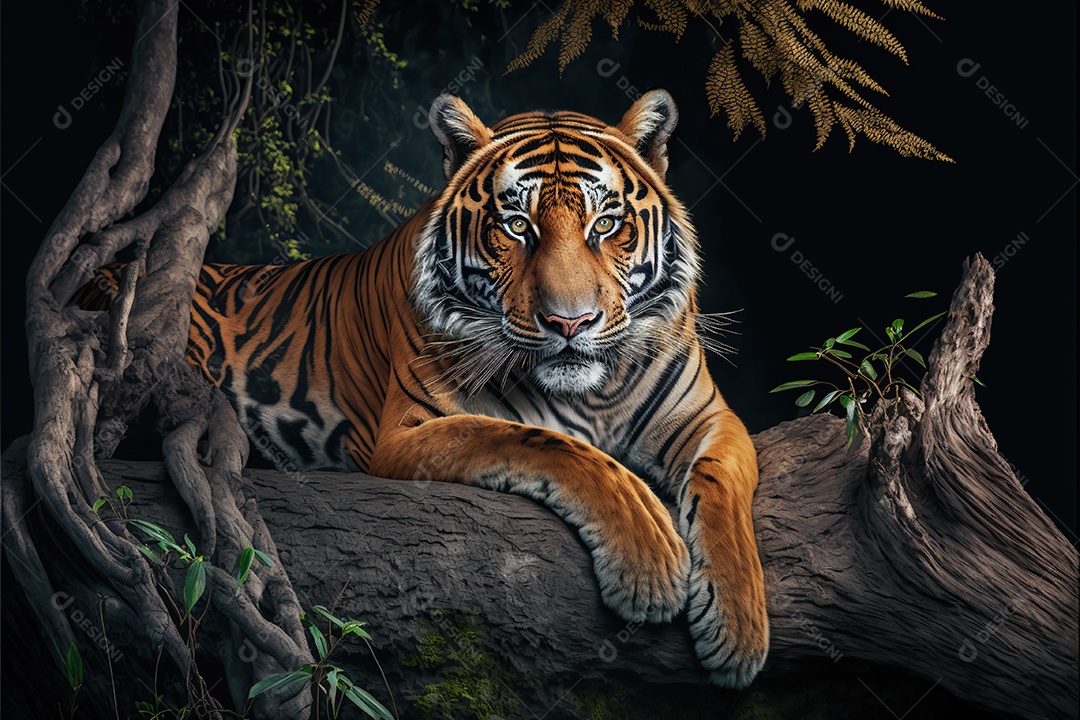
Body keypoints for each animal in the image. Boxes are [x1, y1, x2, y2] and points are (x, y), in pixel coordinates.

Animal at [77, 90, 769, 687]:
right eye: (516, 226)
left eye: (605, 224)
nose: (569, 323)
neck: (593, 393)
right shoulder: (410, 431)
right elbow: (546, 445)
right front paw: (649, 565)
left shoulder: (708, 416)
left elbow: (723, 490)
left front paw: (739, 635)